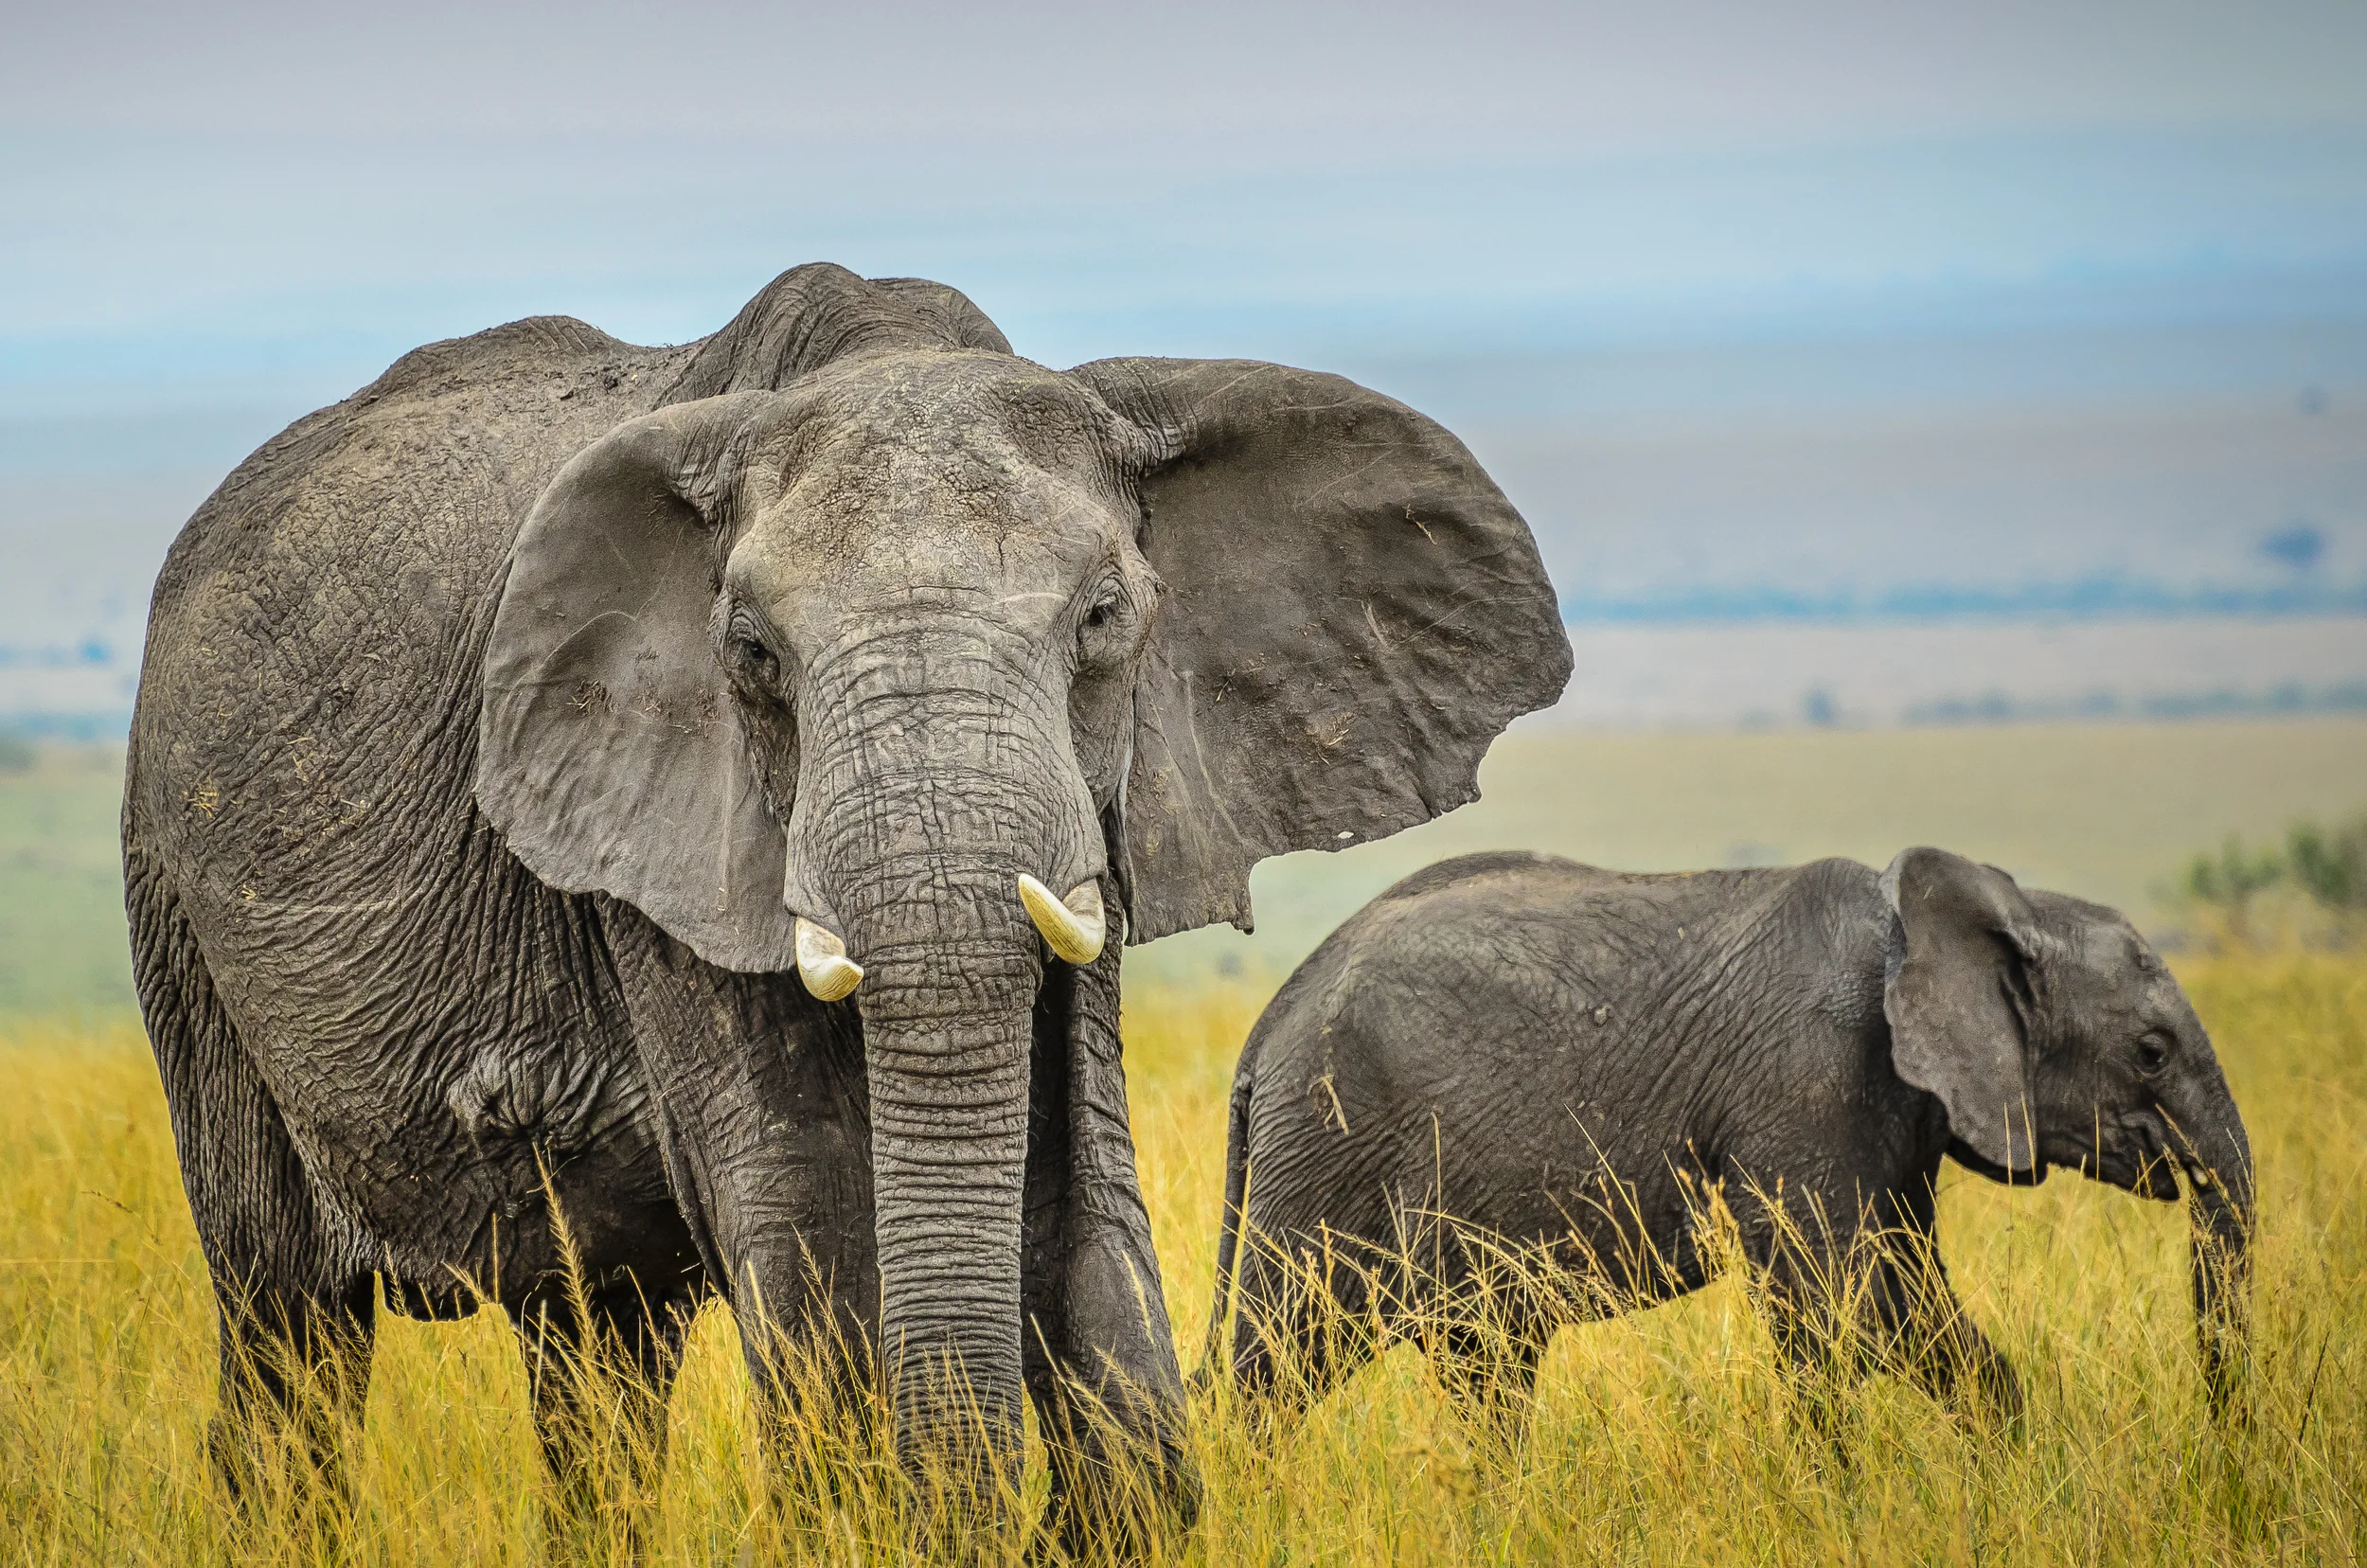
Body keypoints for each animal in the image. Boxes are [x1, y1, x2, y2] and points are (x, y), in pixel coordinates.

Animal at [120, 263, 1571, 1545]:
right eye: (754, 655)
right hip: (177, 901)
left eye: (1104, 620)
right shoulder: (665, 839)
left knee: (598, 1344)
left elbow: (1085, 1188)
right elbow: (808, 1216)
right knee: (287, 1324)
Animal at [1200, 848, 2254, 1443]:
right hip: (1327, 1154)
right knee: (1274, 1372)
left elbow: (1913, 1306)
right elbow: (1838, 1318)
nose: (2225, 1458)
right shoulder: (1809, 1084)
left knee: (1483, 1369)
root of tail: (1264, 1030)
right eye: (2150, 1052)